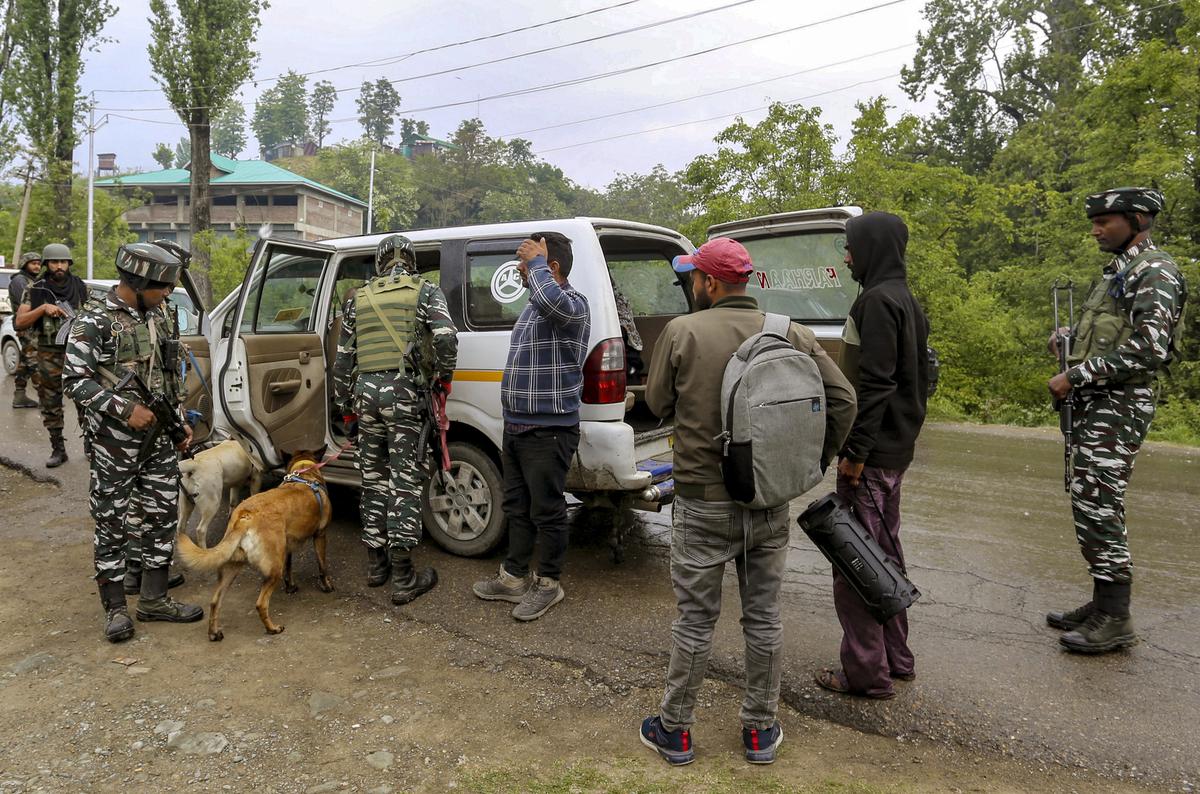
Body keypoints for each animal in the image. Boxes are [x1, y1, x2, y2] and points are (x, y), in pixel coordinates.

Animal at [175, 450, 333, 642]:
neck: (304, 474)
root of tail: (245, 517)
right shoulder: (320, 535)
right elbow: (322, 566)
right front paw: (326, 586)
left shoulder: (287, 546)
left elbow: (289, 568)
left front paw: (291, 587)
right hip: (273, 569)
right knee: (260, 603)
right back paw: (272, 628)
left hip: (232, 567)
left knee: (215, 601)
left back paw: (214, 633)